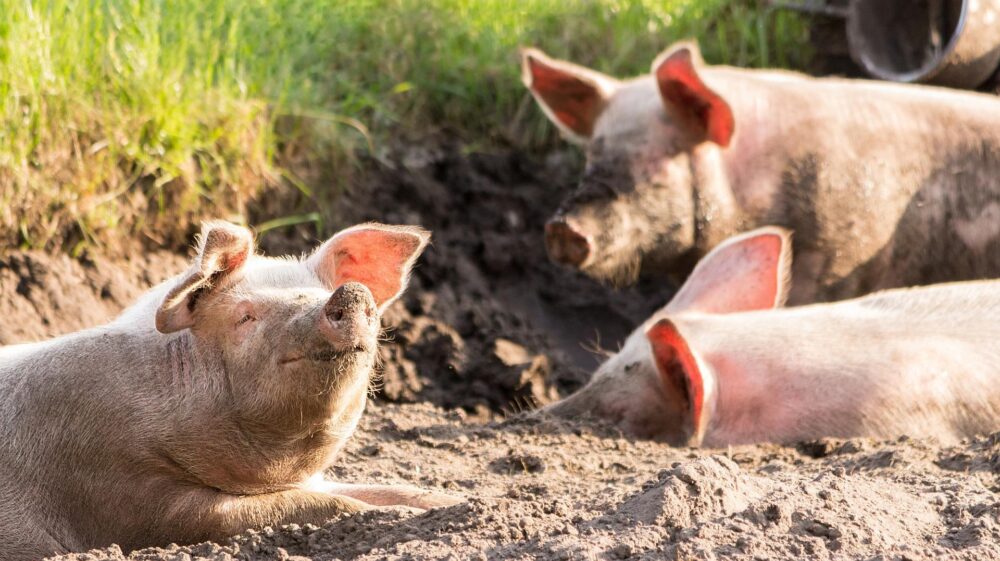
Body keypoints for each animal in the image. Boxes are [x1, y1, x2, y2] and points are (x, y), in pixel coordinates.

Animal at [0, 221, 459, 560]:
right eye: (246, 316)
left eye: (319, 292)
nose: (350, 292)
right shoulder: (126, 493)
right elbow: (317, 506)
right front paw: (395, 514)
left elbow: (388, 490)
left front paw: (450, 503)